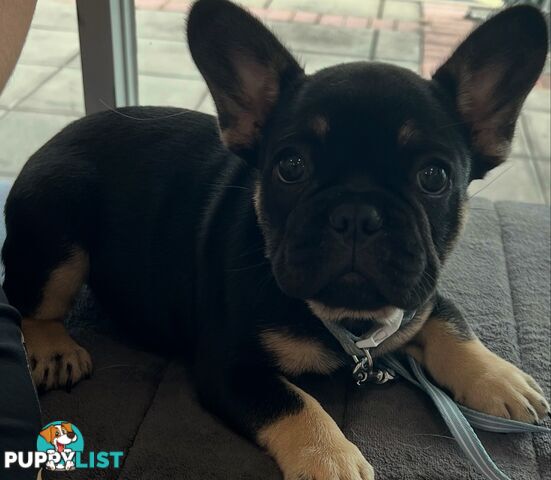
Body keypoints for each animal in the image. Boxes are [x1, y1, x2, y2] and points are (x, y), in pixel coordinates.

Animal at [2, 1, 548, 478]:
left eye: (434, 177)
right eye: (291, 166)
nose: (356, 213)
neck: (348, 320)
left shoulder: (422, 291)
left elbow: (451, 322)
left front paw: (499, 377)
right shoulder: (230, 367)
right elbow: (297, 402)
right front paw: (332, 461)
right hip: (59, 229)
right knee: (29, 300)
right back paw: (54, 348)